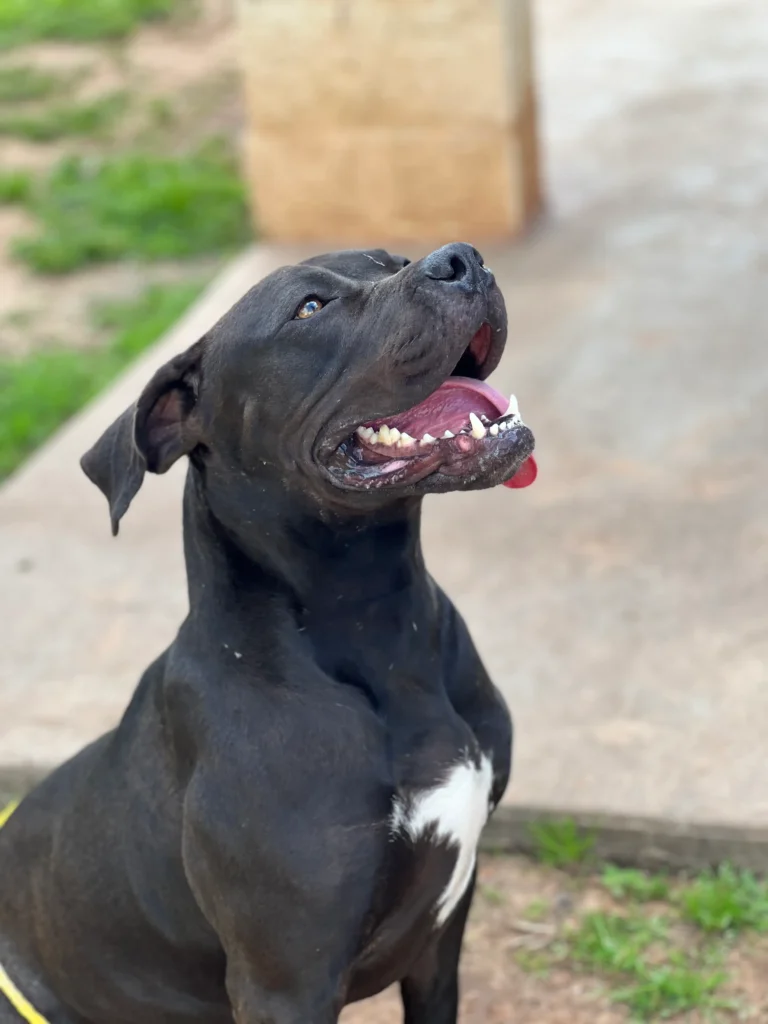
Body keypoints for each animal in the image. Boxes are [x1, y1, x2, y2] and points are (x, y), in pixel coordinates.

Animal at [0, 243, 536, 1019]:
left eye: (394, 259)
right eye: (309, 308)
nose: (460, 259)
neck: (378, 629)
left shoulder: (442, 937)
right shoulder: (287, 978)